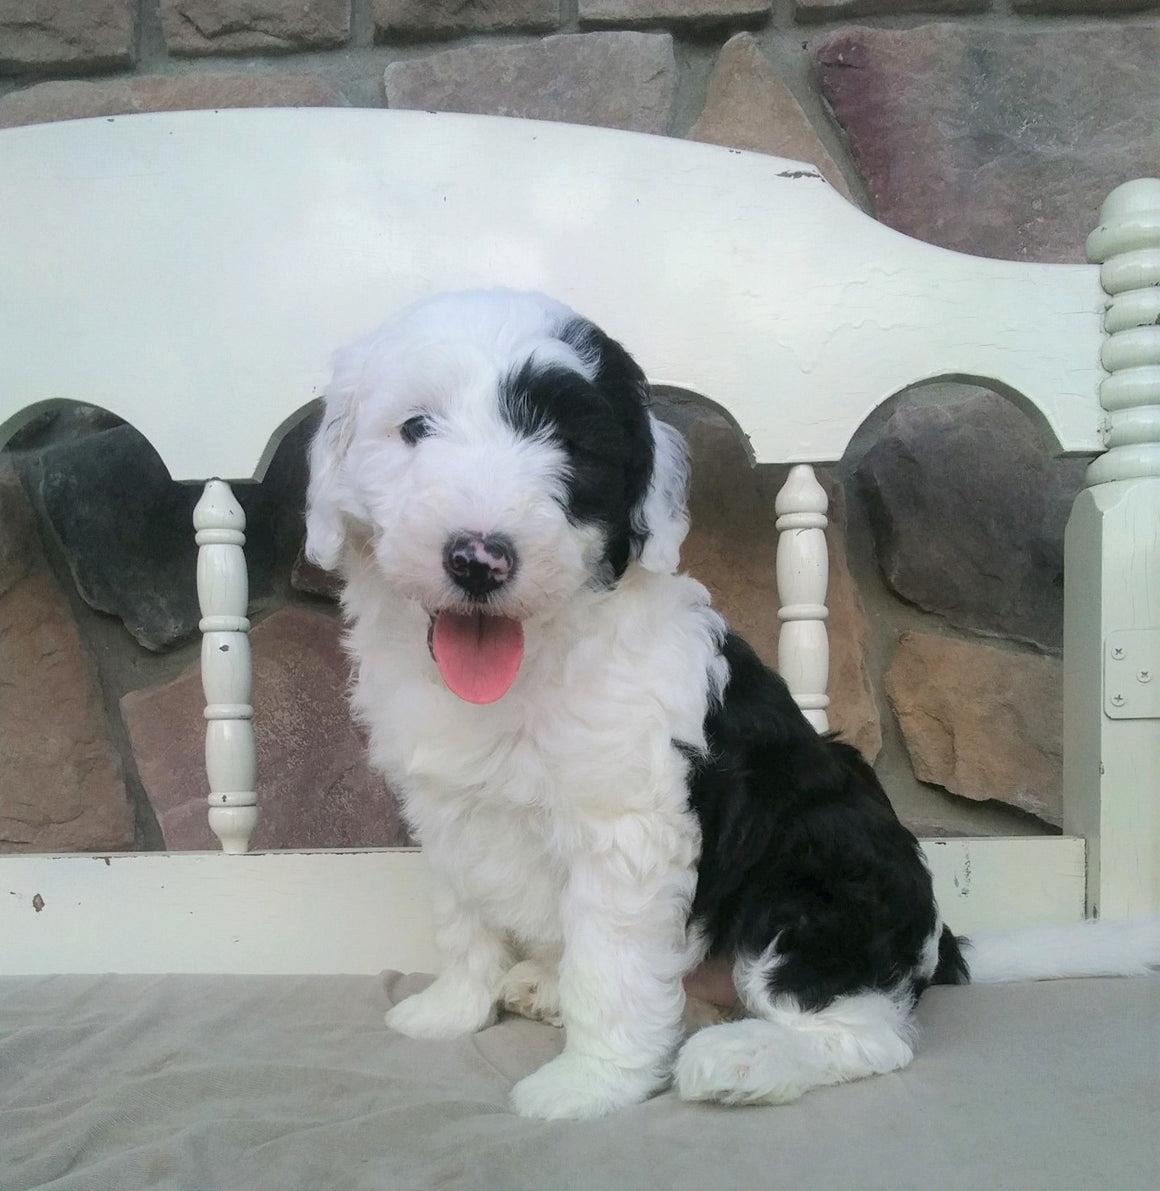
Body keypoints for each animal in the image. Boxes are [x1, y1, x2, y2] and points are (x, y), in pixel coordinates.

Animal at [309, 285, 1160, 1114]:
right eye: (415, 426)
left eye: (573, 448)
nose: (479, 558)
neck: (531, 659)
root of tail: (935, 944)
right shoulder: (447, 807)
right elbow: (462, 918)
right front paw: (452, 1008)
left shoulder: (627, 826)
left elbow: (611, 966)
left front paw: (587, 1085)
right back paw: (553, 988)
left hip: (816, 870)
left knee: (866, 1033)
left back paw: (742, 1059)